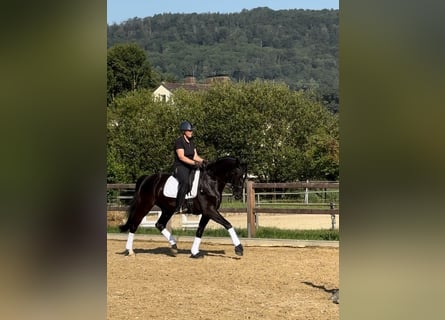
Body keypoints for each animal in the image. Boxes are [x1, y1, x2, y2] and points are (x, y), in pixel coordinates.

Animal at [119, 156, 248, 258]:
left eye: (244, 175)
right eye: (235, 173)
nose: (238, 194)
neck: (211, 181)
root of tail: (146, 178)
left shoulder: (207, 212)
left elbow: (200, 230)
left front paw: (195, 252)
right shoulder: (209, 210)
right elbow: (228, 224)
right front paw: (239, 248)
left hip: (167, 209)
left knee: (159, 224)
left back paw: (174, 246)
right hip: (145, 206)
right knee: (134, 224)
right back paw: (130, 251)